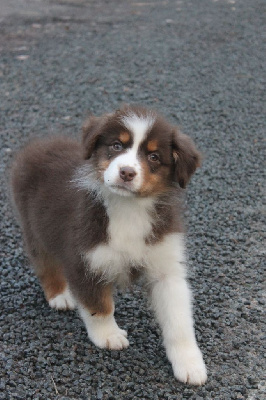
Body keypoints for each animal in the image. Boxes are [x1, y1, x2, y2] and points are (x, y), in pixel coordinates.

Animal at [10, 105, 208, 384]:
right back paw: (60, 295)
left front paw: (190, 363)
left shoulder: (166, 266)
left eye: (154, 157)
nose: (126, 172)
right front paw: (108, 336)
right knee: (45, 263)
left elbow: (179, 319)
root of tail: (39, 143)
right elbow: (99, 305)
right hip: (34, 226)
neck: (129, 208)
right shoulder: (85, 259)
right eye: (116, 145)